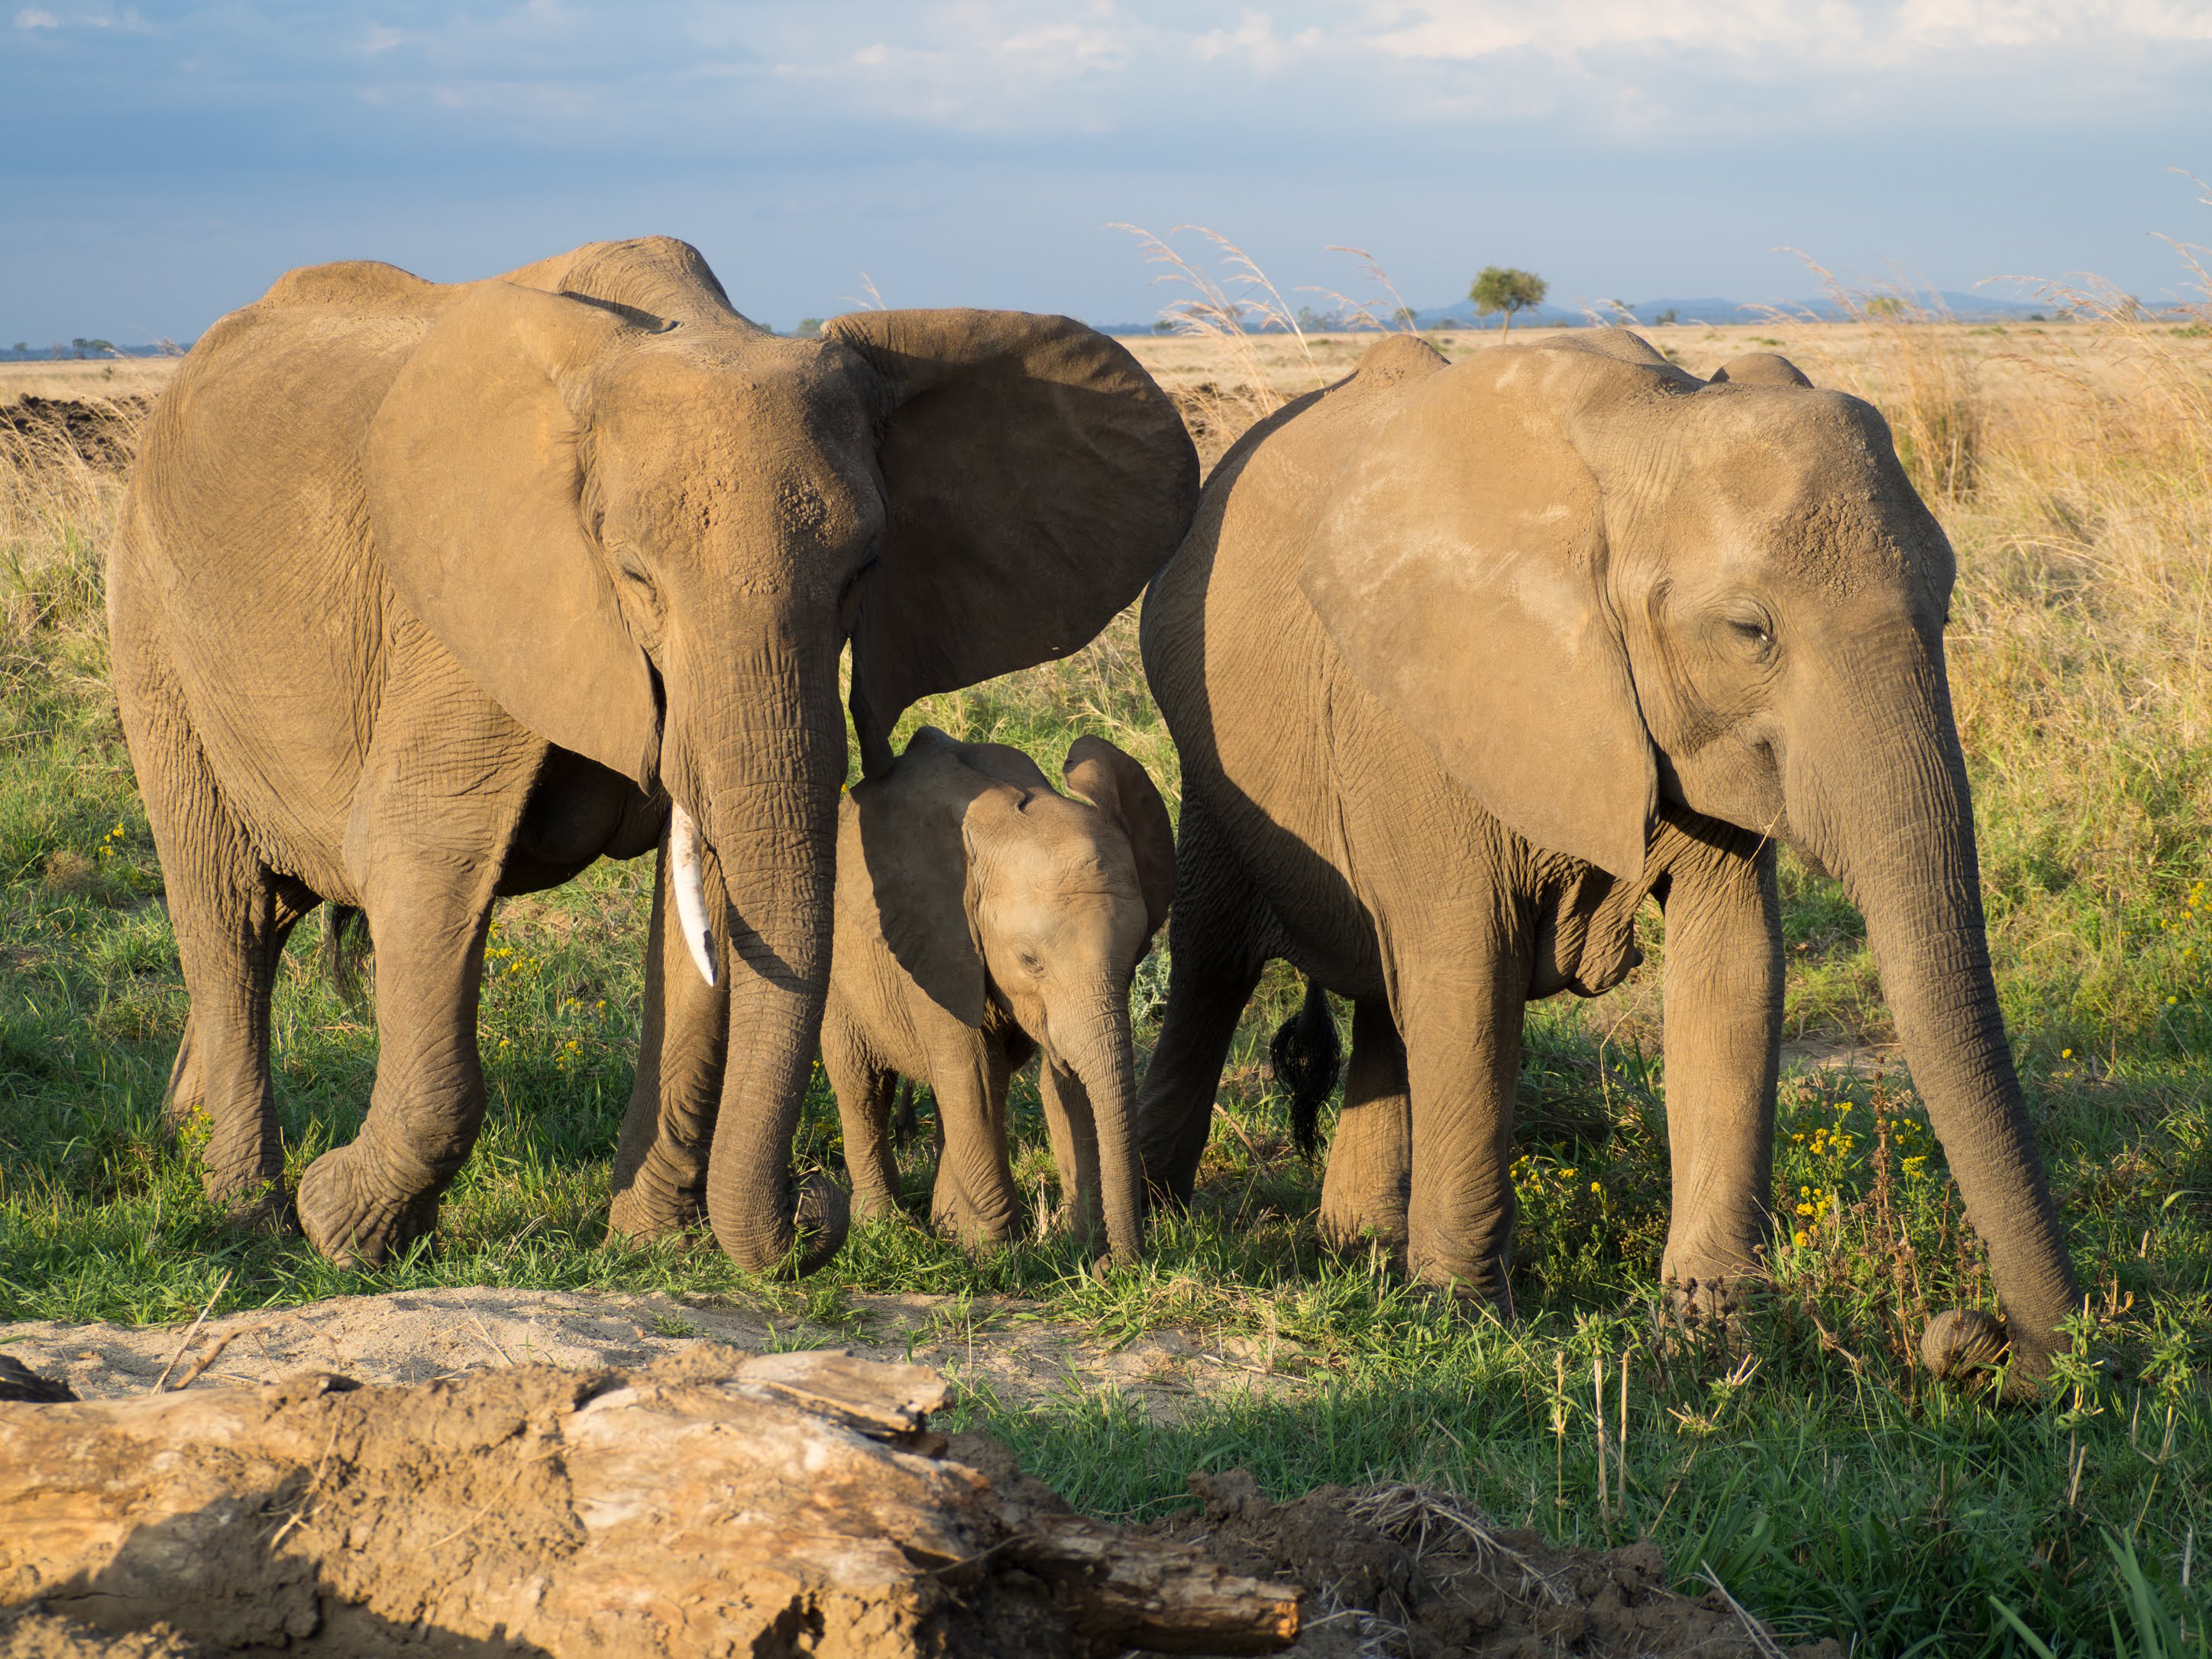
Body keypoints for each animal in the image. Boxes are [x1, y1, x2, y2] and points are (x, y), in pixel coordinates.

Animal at [823, 725, 1176, 1256]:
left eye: (1140, 952)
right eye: (1030, 960)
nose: (1120, 1265)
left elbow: (1064, 1080)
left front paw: (1080, 1249)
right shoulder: (937, 939)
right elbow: (971, 1075)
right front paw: (996, 1256)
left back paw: (944, 1229)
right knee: (861, 1083)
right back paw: (885, 1229)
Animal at [1132, 331, 2079, 1380]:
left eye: (1944, 607)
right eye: (1750, 631)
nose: (1978, 1343)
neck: (1646, 435)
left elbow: (1734, 967)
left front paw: (1717, 1335)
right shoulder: (1425, 713)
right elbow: (1468, 978)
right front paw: (1466, 1326)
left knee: (1384, 990)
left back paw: (1359, 1249)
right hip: (1213, 763)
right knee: (1215, 967)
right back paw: (1162, 1219)